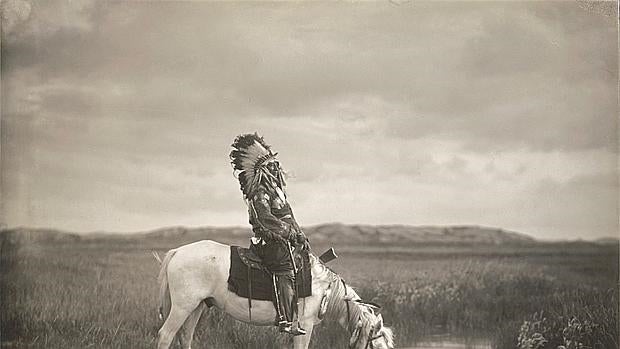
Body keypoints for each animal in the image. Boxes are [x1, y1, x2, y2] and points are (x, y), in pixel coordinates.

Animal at [157, 239, 394, 348]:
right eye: (377, 346)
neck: (324, 288)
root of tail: (177, 251)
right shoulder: (304, 326)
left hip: (197, 306)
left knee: (185, 337)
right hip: (182, 307)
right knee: (166, 335)